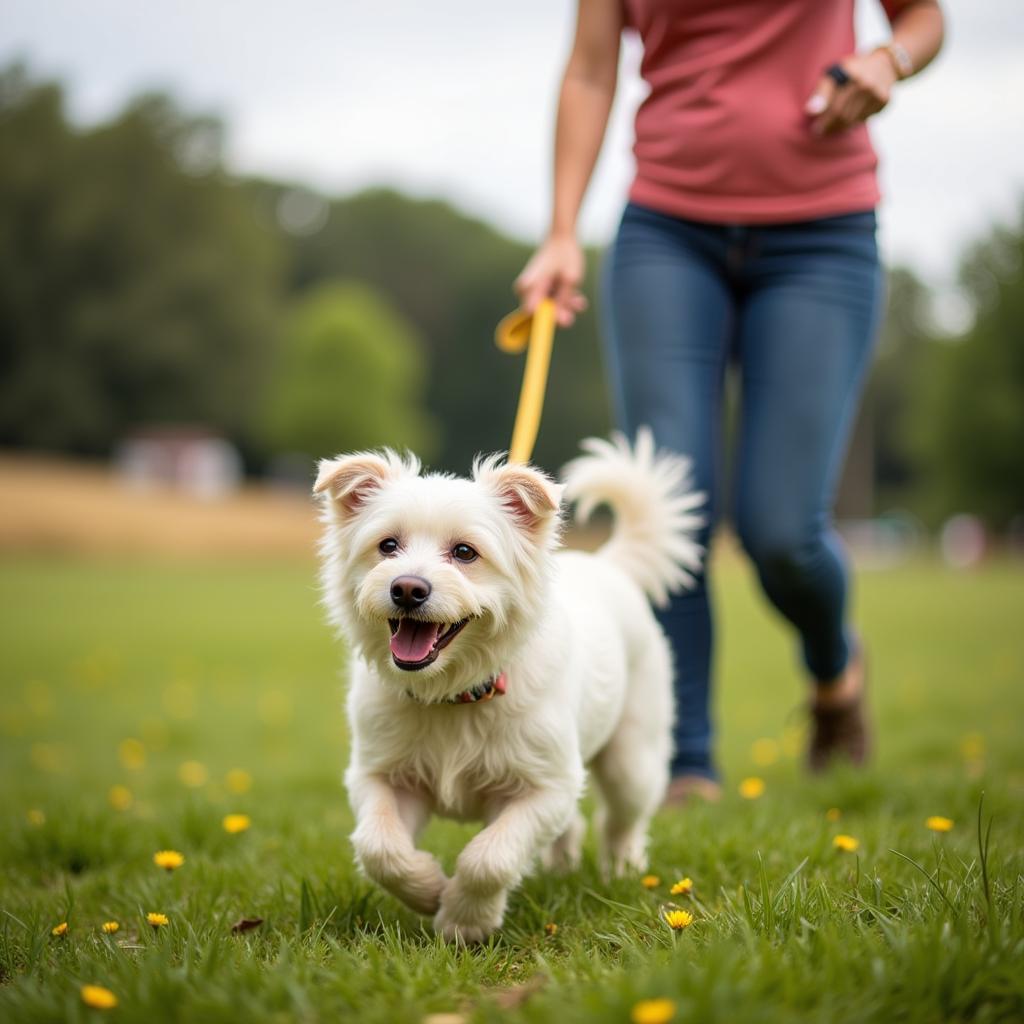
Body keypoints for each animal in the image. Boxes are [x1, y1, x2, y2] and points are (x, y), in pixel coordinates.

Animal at [313, 428, 704, 937]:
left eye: (465, 552)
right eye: (387, 545)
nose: (407, 589)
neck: (453, 693)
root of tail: (609, 565)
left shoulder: (546, 786)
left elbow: (489, 858)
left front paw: (465, 920)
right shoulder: (378, 774)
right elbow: (380, 848)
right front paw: (428, 889)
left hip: (631, 761)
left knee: (621, 821)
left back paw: (623, 871)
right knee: (574, 827)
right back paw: (562, 867)